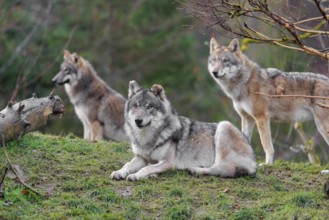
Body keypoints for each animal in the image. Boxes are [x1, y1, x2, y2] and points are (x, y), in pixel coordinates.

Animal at [110, 80, 256, 180]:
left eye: (149, 107)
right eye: (136, 106)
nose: (138, 121)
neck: (147, 139)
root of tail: (254, 159)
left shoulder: (168, 162)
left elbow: (148, 168)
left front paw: (137, 175)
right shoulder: (141, 158)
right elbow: (127, 165)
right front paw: (119, 172)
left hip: (224, 126)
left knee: (221, 169)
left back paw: (196, 170)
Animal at [208, 37, 328, 172]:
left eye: (225, 61)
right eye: (214, 60)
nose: (214, 72)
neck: (245, 82)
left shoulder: (262, 117)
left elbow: (266, 145)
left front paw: (267, 164)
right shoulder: (247, 118)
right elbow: (244, 140)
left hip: (322, 126)